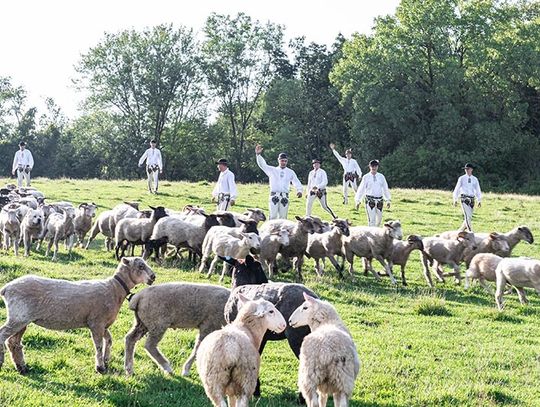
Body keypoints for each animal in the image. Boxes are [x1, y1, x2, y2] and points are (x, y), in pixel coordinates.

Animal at [0, 258, 156, 376]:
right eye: (141, 266)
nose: (153, 277)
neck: (115, 289)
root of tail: (6, 288)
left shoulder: (101, 323)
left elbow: (109, 340)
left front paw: (106, 360)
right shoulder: (96, 323)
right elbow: (98, 345)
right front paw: (100, 367)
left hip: (22, 319)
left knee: (13, 342)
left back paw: (21, 367)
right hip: (18, 317)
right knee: (3, 335)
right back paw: (4, 362)